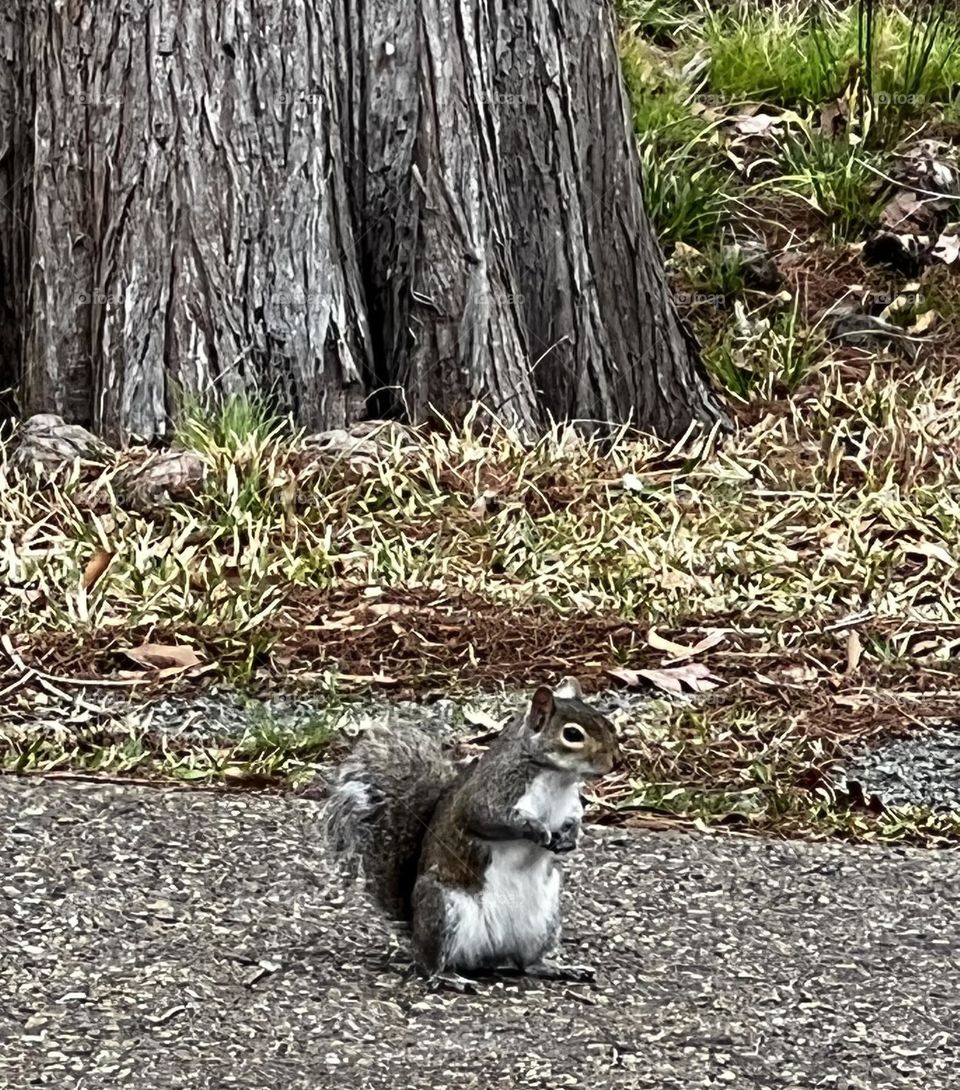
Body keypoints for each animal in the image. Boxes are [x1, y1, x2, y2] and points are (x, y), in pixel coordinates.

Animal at [322, 676, 622, 989]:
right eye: (572, 734)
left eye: (606, 722)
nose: (615, 760)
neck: (555, 777)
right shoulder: (488, 795)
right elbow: (489, 820)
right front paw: (538, 832)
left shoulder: (569, 807)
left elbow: (574, 821)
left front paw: (570, 839)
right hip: (442, 909)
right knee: (429, 963)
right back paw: (447, 977)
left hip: (544, 919)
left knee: (527, 963)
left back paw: (556, 967)